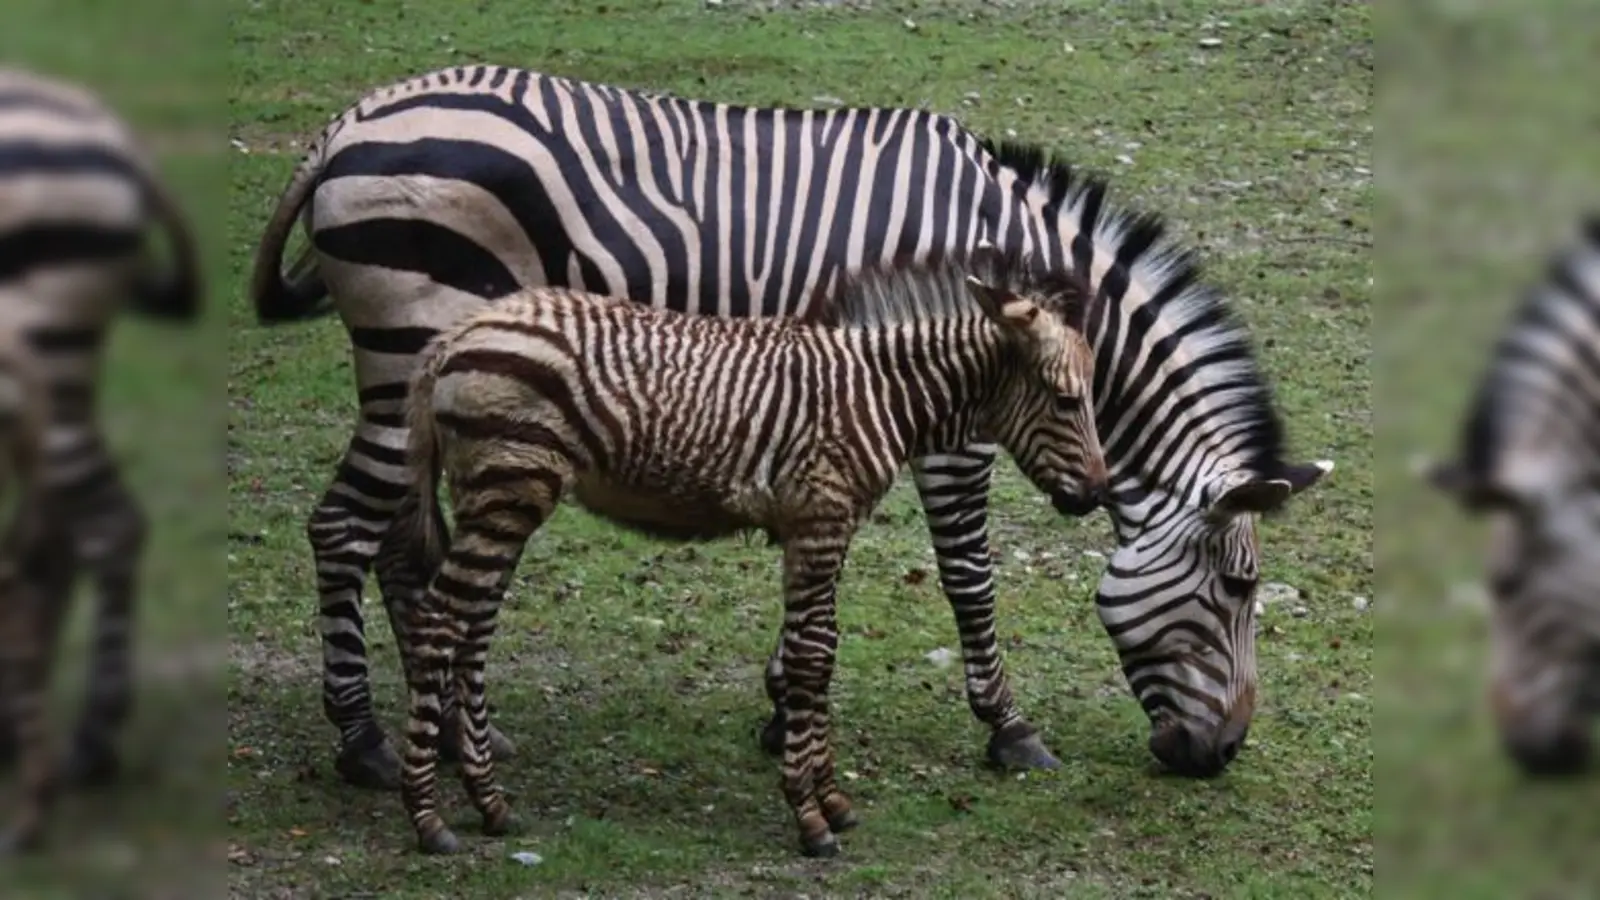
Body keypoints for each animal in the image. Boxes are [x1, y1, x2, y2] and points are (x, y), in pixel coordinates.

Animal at [246, 65, 1334, 789]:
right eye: (1239, 589)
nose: (1222, 755)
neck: (1007, 254)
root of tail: (350, 121)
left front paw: (778, 704)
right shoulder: (957, 414)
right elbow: (967, 573)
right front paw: (1008, 727)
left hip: (426, 377)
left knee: (400, 537)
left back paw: (449, 731)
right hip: (410, 343)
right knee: (344, 528)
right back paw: (366, 741)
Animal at [378, 249, 1109, 857]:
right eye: (1067, 400)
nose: (1098, 495)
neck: (877, 393)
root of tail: (456, 334)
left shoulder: (823, 529)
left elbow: (821, 651)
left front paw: (831, 799)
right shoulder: (817, 523)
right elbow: (814, 659)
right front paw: (810, 816)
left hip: (498, 501)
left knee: (470, 631)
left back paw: (489, 803)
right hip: (507, 490)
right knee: (439, 624)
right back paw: (427, 816)